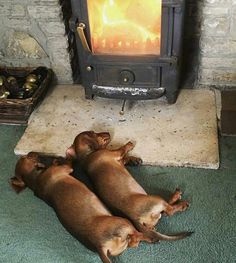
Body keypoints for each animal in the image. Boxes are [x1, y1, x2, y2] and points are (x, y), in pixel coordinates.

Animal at [10, 153, 153, 263]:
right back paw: (152, 237)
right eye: (27, 157)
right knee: (139, 234)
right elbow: (68, 162)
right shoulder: (66, 168)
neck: (35, 179)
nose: (32, 152)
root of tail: (99, 246)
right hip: (124, 223)